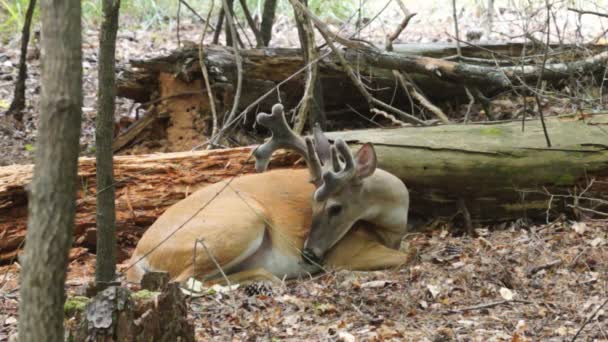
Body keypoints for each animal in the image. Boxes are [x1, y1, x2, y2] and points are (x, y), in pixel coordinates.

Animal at [127, 103, 414, 284]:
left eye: (335, 207)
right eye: (314, 204)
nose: (308, 254)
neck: (394, 226)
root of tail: (139, 253)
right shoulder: (346, 250)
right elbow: (405, 255)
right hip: (243, 221)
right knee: (184, 281)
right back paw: (265, 279)